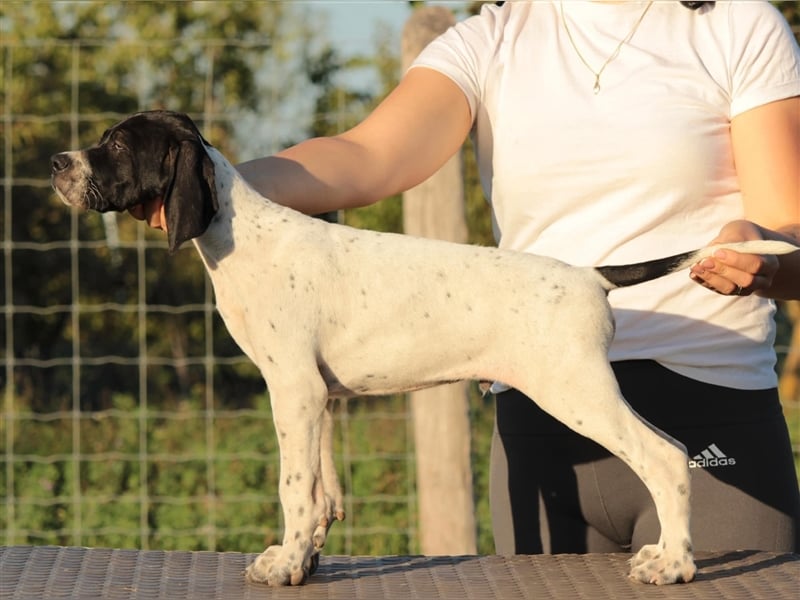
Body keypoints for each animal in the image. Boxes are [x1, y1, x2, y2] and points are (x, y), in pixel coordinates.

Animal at [53, 111, 796, 584]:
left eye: (117, 145)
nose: (58, 162)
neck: (242, 235)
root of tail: (589, 276)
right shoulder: (318, 396)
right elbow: (322, 489)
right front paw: (307, 558)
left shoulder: (292, 388)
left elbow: (294, 487)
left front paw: (285, 563)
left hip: (575, 390)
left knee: (665, 458)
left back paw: (673, 564)